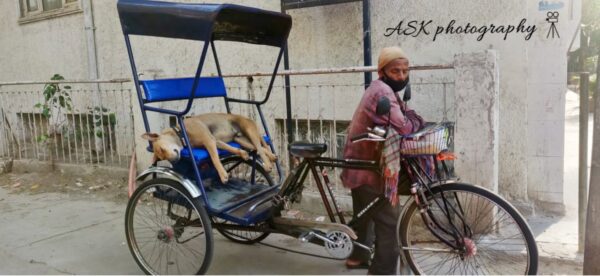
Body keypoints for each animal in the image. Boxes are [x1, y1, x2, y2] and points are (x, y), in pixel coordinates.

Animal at [142, 112, 278, 183]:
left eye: (162, 149)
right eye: (161, 158)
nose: (174, 161)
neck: (181, 133)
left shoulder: (209, 141)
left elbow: (215, 158)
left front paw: (223, 174)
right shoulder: (215, 141)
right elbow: (231, 149)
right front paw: (242, 154)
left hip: (249, 130)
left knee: (260, 148)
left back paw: (268, 164)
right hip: (241, 140)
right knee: (259, 148)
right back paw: (272, 157)